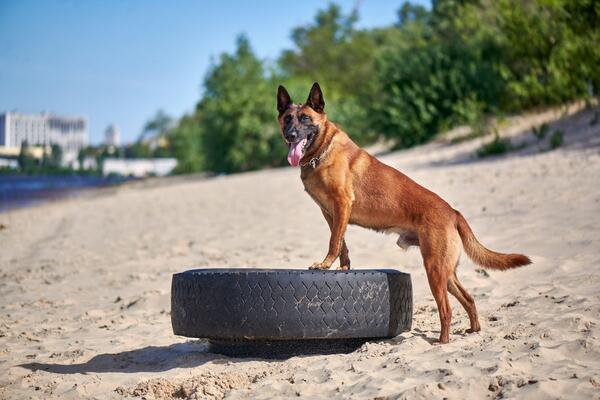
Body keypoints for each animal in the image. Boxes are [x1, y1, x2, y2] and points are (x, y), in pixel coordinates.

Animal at [276, 82, 528, 344]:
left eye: (305, 118)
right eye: (287, 119)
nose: (290, 135)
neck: (322, 150)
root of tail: (453, 212)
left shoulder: (342, 205)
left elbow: (334, 242)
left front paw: (324, 264)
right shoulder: (331, 214)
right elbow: (341, 245)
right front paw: (343, 269)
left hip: (435, 269)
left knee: (446, 309)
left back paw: (442, 342)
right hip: (447, 273)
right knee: (468, 299)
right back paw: (473, 330)